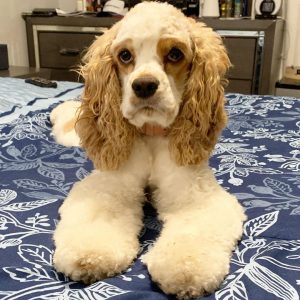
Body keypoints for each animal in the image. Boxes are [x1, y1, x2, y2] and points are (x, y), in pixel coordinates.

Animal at [51, 2, 246, 300]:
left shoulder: (195, 195)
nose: (143, 85)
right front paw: (90, 255)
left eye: (175, 53)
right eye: (125, 55)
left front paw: (185, 269)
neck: (152, 134)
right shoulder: (109, 187)